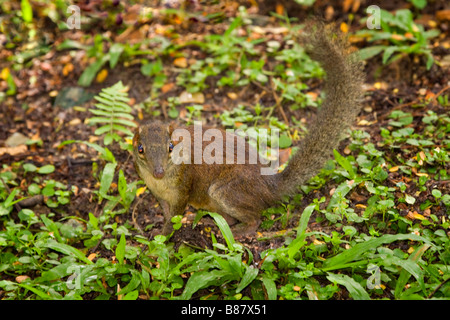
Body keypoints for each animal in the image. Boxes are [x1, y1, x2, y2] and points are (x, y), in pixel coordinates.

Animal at [132, 23, 364, 236]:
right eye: (140, 149)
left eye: (171, 147)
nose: (159, 171)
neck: (159, 182)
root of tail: (268, 187)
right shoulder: (160, 195)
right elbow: (166, 212)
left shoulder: (183, 188)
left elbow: (175, 218)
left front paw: (161, 239)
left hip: (225, 191)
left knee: (255, 219)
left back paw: (237, 232)